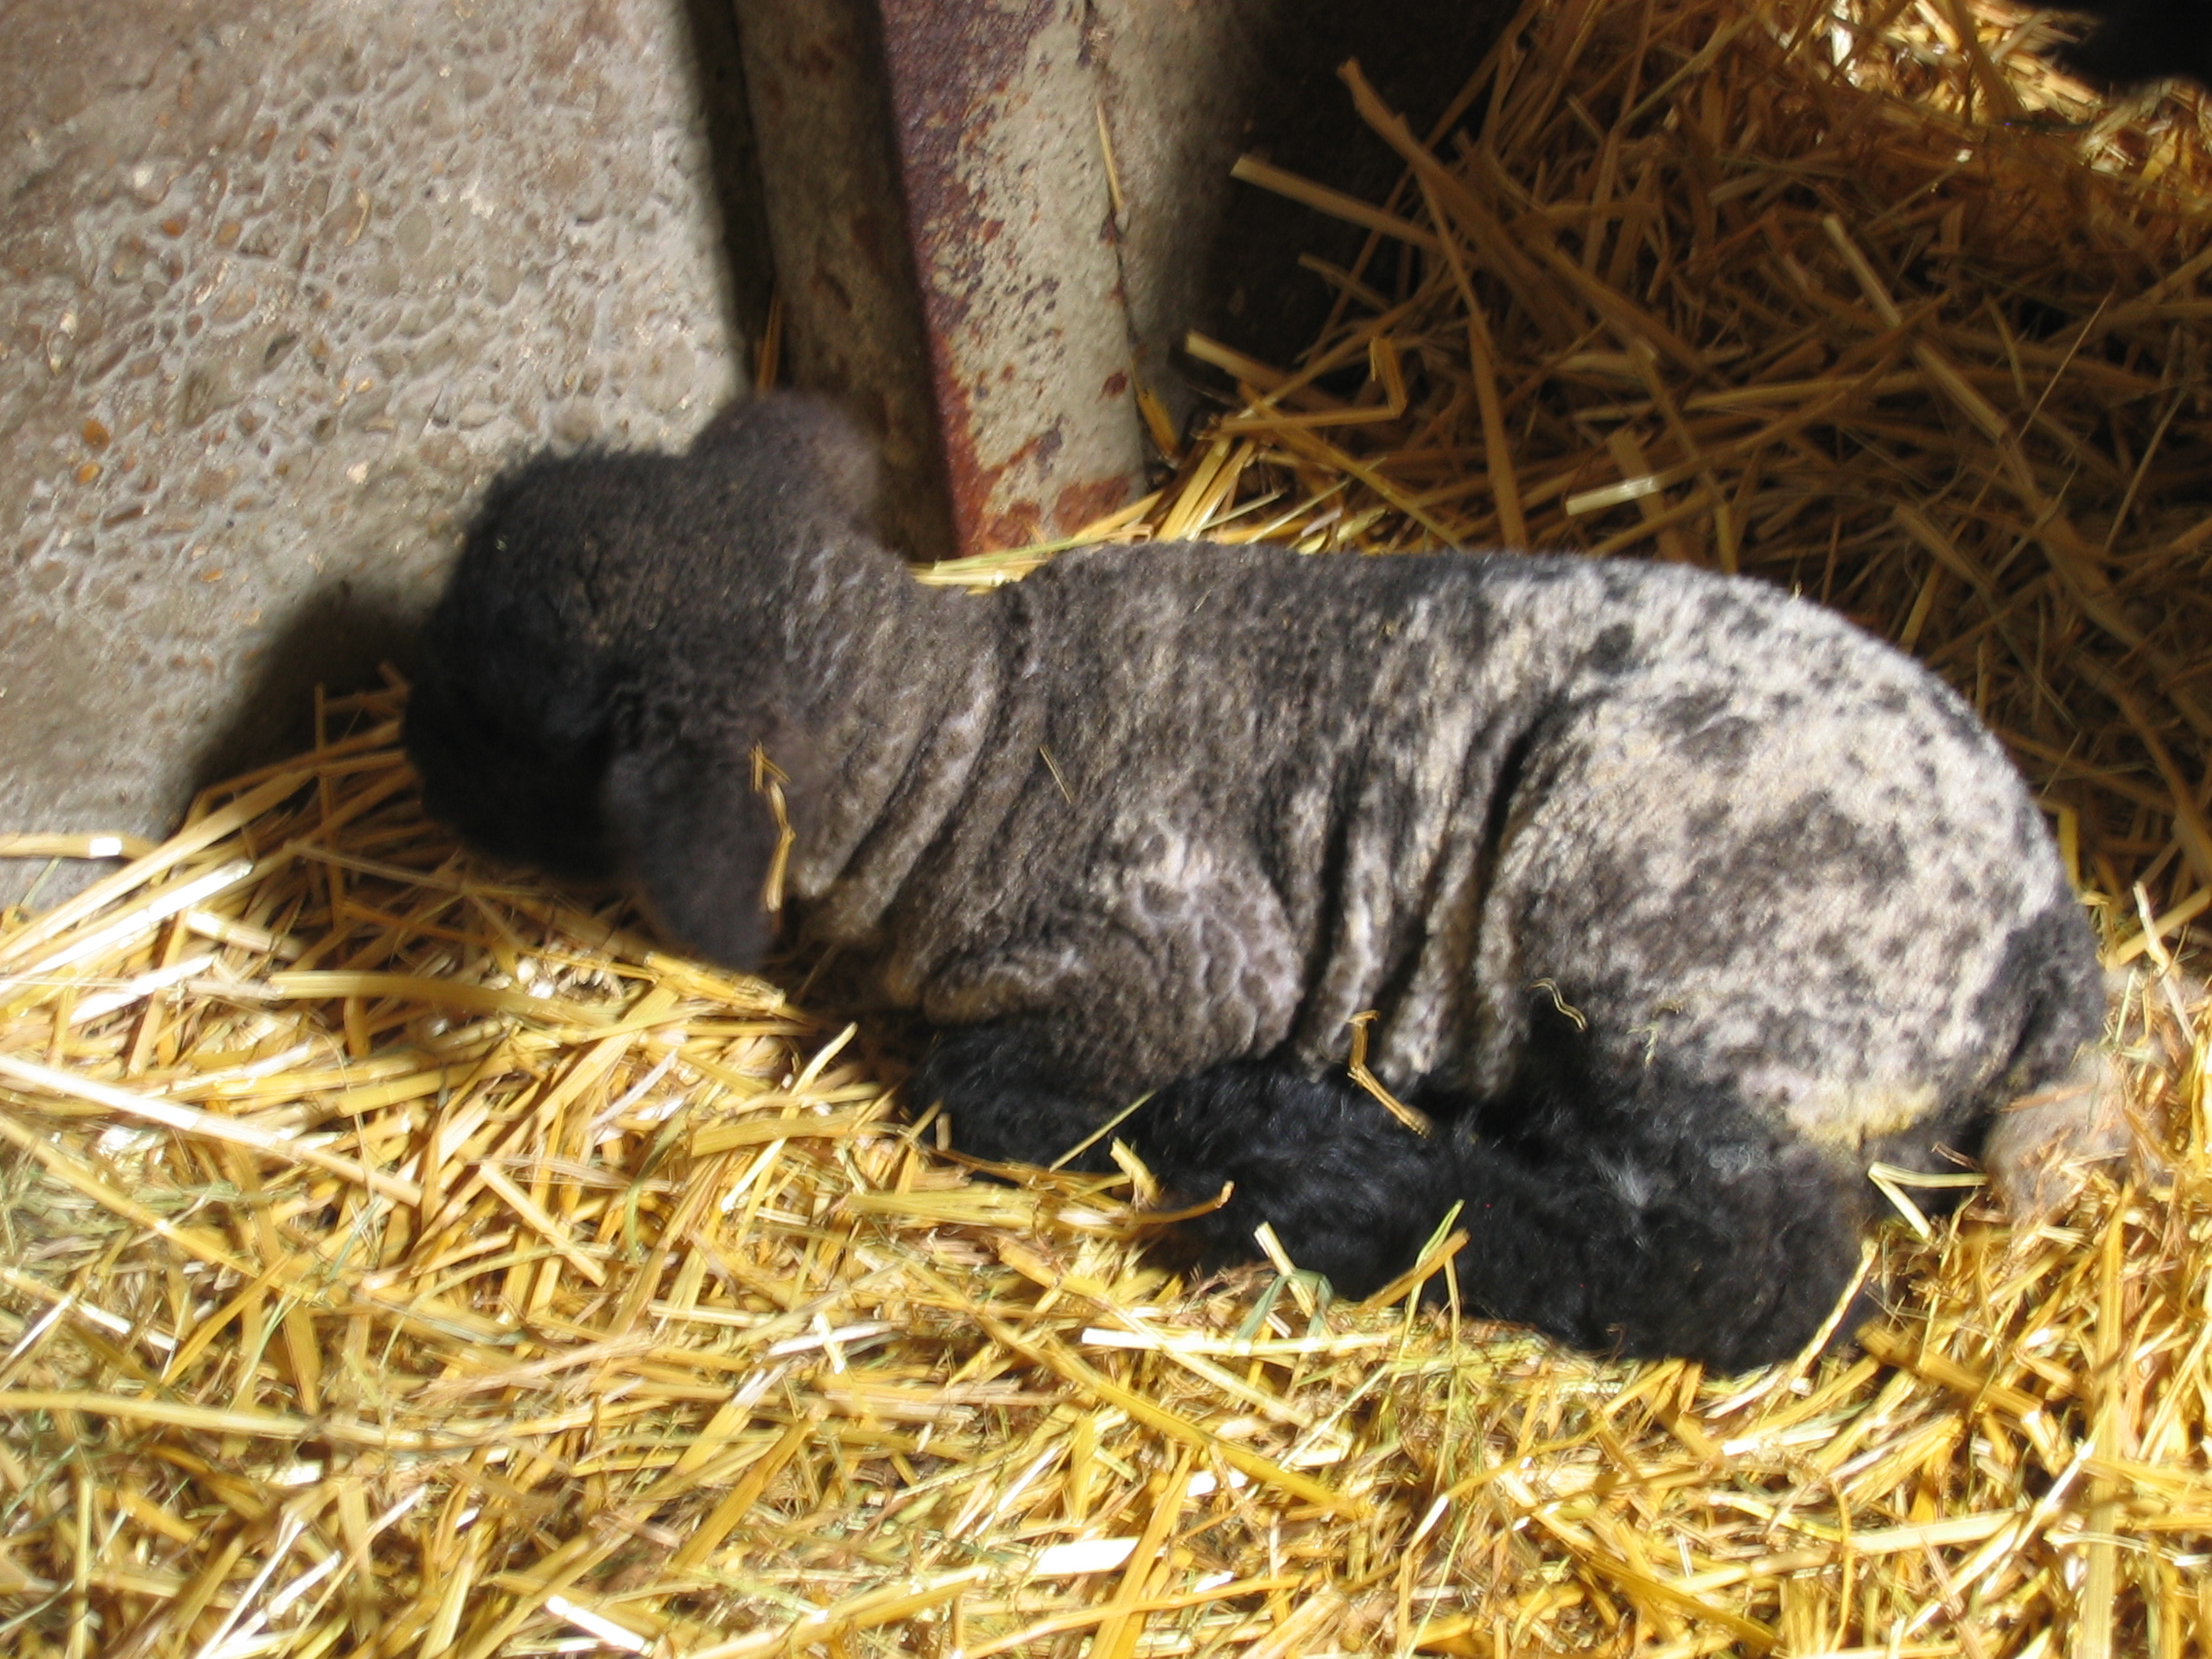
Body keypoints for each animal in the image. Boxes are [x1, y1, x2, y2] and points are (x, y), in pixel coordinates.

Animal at [407, 393, 2115, 1380]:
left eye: (504, 709)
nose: (406, 742)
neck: (970, 734)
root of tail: (2046, 925)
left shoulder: (1178, 948)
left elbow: (989, 1093)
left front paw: (1211, 1115)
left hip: (1673, 924)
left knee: (1755, 1266)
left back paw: (1319, 1181)